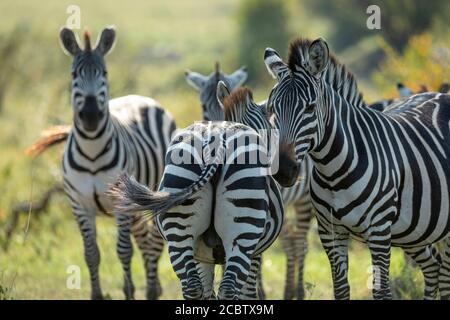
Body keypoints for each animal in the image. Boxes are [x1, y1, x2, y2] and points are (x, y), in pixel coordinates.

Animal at [54, 27, 176, 300]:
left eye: (105, 73)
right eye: (74, 74)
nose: (90, 116)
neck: (92, 151)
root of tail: (140, 97)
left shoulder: (120, 205)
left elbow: (123, 250)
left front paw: (129, 292)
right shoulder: (79, 205)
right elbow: (91, 254)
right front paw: (97, 295)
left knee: (153, 242)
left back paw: (151, 290)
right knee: (145, 241)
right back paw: (154, 287)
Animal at [108, 118, 284, 300]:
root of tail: (216, 139)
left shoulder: (202, 254)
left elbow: (207, 291)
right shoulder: (254, 254)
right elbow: (246, 294)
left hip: (180, 222)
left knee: (193, 287)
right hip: (243, 229)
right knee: (227, 289)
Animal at [262, 38, 450, 300]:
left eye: (310, 108)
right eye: (272, 109)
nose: (284, 171)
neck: (333, 172)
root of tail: (441, 94)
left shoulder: (379, 230)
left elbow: (382, 292)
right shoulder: (330, 232)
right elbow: (341, 289)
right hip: (416, 228)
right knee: (433, 265)